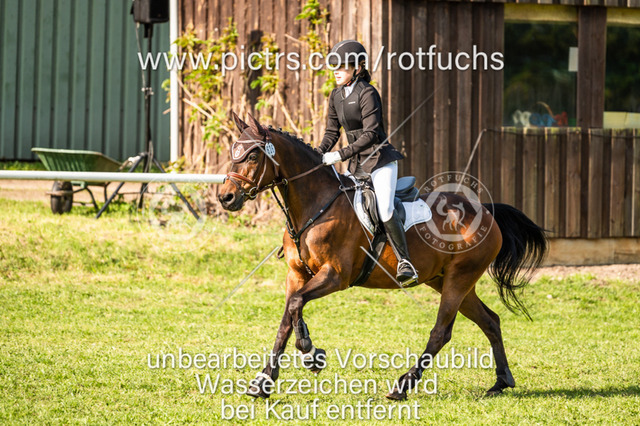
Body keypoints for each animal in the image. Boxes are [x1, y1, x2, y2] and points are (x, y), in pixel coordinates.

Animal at [218, 112, 548, 400]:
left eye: (252, 156)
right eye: (233, 152)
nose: (226, 198)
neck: (315, 205)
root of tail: (485, 212)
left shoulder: (335, 276)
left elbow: (297, 305)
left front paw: (311, 354)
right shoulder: (296, 275)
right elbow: (287, 318)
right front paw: (263, 380)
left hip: (459, 279)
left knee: (441, 332)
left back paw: (403, 385)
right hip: (447, 281)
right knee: (490, 321)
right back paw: (501, 381)